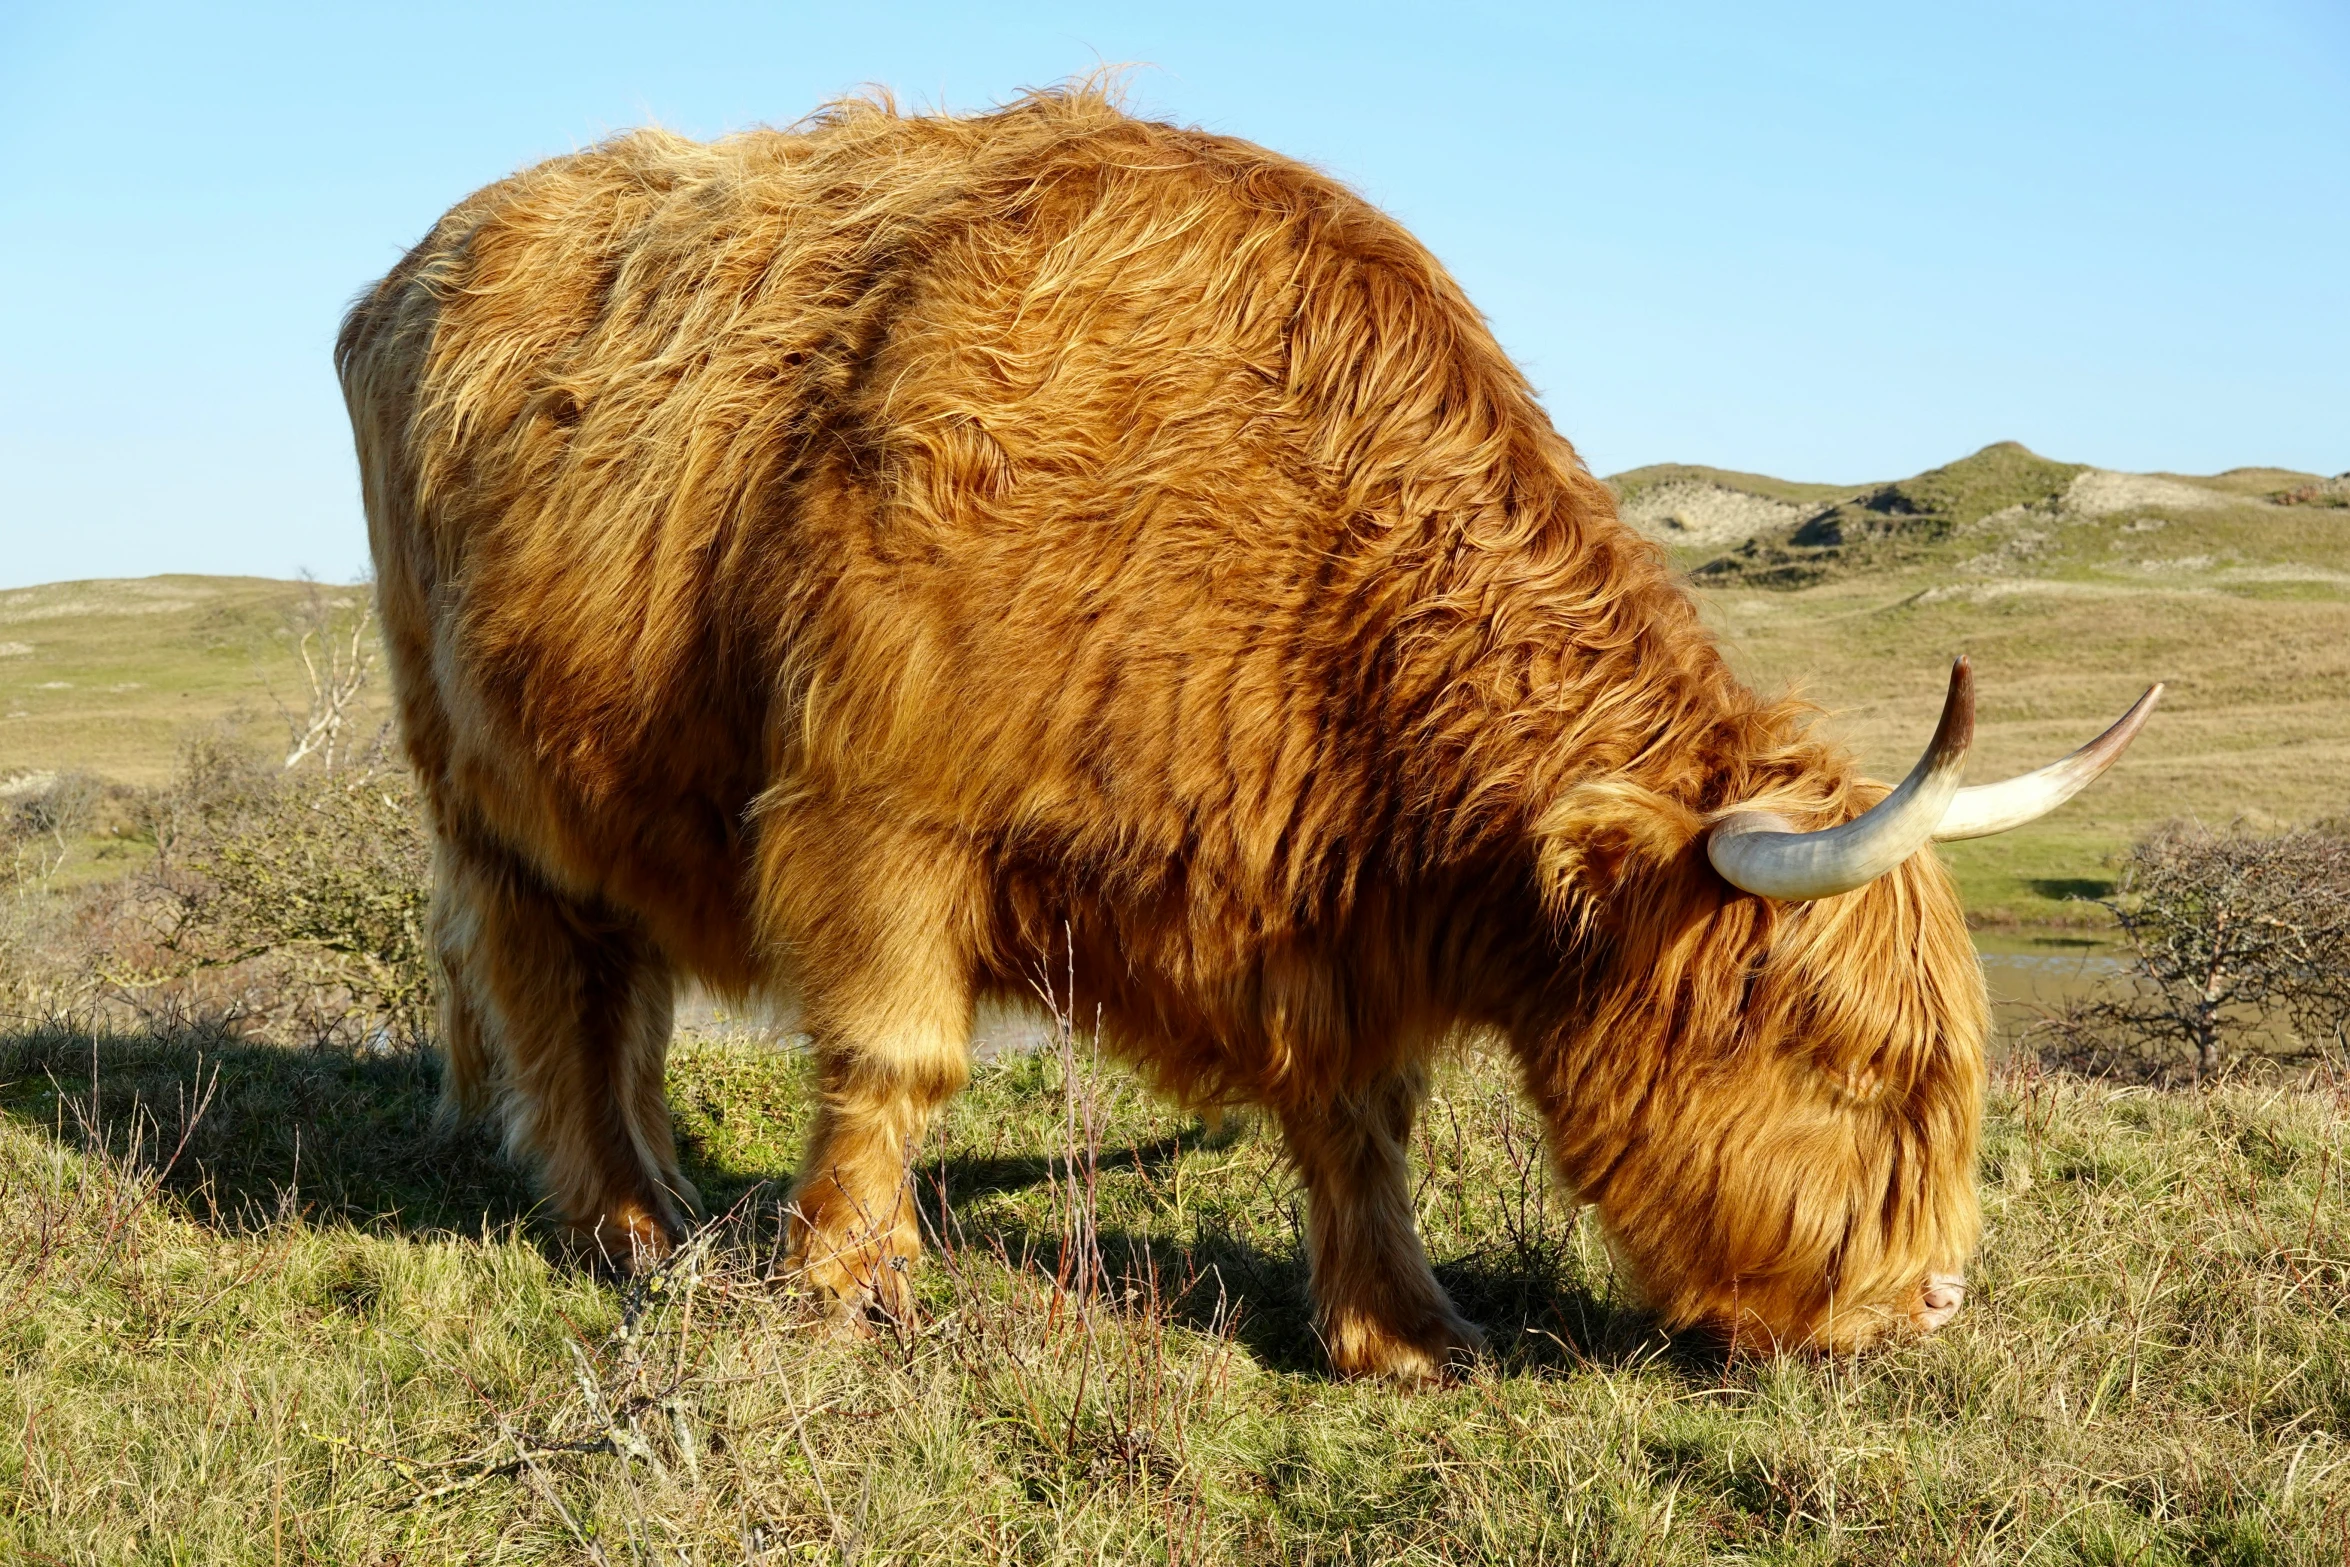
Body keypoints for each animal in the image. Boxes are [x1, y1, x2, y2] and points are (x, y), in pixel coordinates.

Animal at [340, 92, 2152, 1381]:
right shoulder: (879, 809)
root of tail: (414, 266)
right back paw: (628, 1218)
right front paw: (854, 1283)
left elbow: (1358, 1118)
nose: (1930, 1297)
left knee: (622, 990)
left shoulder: (1319, 895)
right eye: (1849, 1060)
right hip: (483, 777)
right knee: (552, 981)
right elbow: (895, 1056)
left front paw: (1407, 1332)